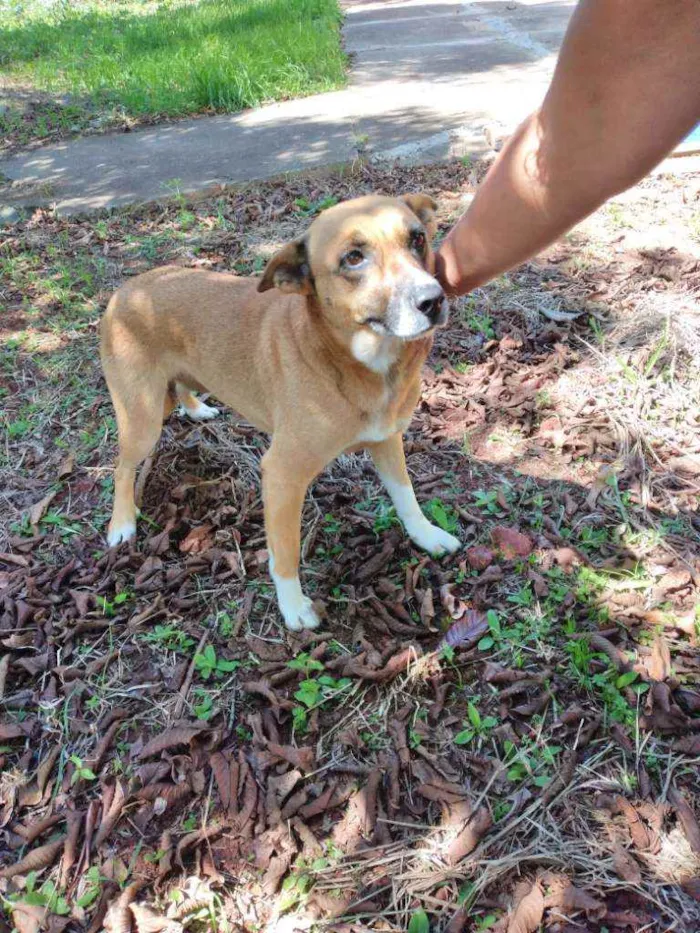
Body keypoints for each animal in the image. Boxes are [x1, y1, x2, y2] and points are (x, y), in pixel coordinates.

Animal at [98, 195, 460, 632]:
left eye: (418, 238)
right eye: (353, 258)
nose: (433, 300)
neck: (347, 361)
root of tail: (125, 290)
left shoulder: (387, 440)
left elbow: (407, 497)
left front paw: (427, 535)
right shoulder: (283, 476)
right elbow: (284, 551)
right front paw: (293, 607)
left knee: (182, 389)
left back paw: (196, 408)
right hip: (143, 420)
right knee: (121, 468)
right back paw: (122, 523)